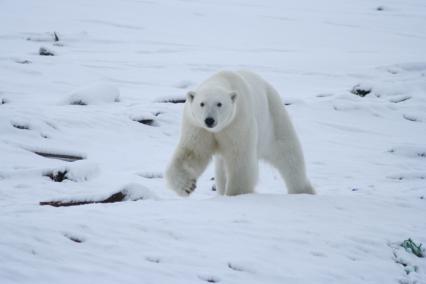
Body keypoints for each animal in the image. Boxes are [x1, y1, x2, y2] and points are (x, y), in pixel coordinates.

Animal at [165, 70, 314, 196]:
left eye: (219, 104)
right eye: (202, 103)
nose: (209, 120)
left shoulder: (238, 122)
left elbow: (240, 157)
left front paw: (236, 193)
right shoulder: (198, 127)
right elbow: (192, 152)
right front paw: (187, 186)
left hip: (273, 118)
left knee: (288, 154)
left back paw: (303, 190)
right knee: (221, 170)